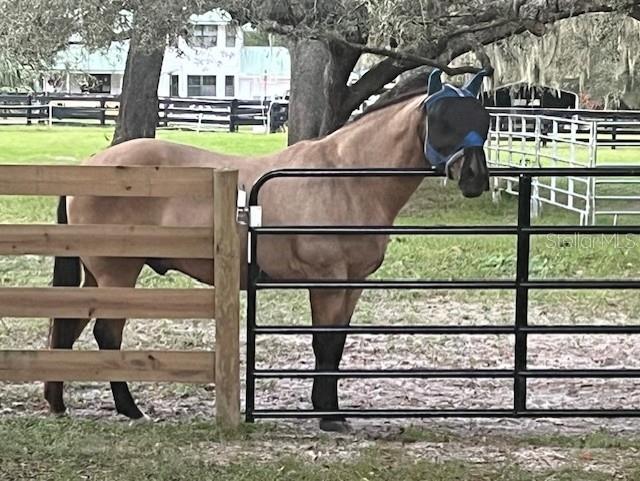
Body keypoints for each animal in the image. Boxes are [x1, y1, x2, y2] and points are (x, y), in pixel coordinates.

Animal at [46, 68, 490, 432]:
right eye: (443, 120)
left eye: (482, 120)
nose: (475, 178)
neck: (345, 179)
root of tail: (92, 165)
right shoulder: (327, 281)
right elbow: (325, 344)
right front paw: (328, 416)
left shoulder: (353, 284)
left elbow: (337, 345)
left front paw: (332, 411)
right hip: (117, 272)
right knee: (107, 333)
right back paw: (130, 409)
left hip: (97, 274)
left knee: (70, 325)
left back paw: (57, 401)